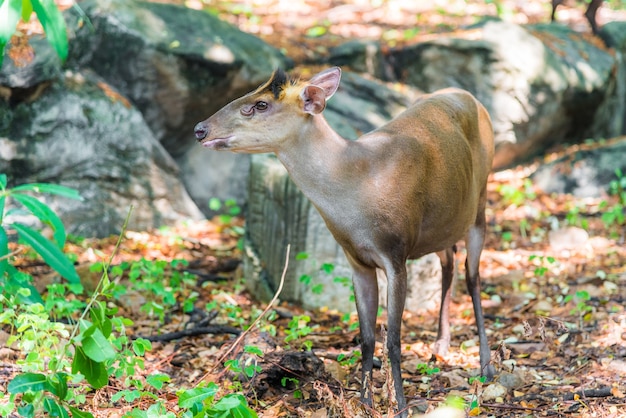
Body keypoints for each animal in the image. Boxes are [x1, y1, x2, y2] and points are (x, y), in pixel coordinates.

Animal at [193, 67, 494, 416]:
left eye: (260, 105)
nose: (200, 129)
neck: (357, 186)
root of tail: (470, 97)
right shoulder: (356, 261)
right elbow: (366, 338)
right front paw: (364, 402)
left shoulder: (396, 252)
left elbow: (393, 340)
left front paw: (401, 406)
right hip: (443, 224)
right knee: (449, 263)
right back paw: (440, 346)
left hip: (480, 203)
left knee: (473, 276)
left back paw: (486, 367)